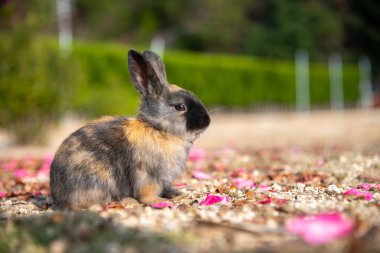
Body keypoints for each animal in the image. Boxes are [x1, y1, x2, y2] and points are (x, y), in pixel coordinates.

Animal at [49, 49, 211, 210]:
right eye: (180, 107)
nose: (207, 121)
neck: (159, 129)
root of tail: (60, 198)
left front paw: (177, 194)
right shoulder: (147, 176)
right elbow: (147, 194)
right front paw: (159, 201)